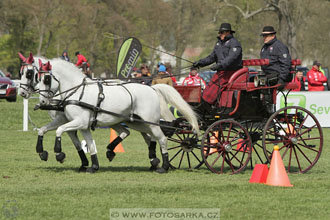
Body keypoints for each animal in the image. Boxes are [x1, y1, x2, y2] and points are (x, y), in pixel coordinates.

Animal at [38, 59, 199, 173]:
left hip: (150, 122)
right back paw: (150, 160)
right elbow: (88, 144)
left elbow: (59, 131)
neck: (77, 92)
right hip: (136, 122)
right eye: (37, 78)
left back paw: (163, 167)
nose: (42, 102)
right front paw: (93, 166)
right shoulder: (80, 124)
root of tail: (152, 88)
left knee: (162, 138)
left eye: (46, 79)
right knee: (145, 136)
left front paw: (59, 153)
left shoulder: (80, 122)